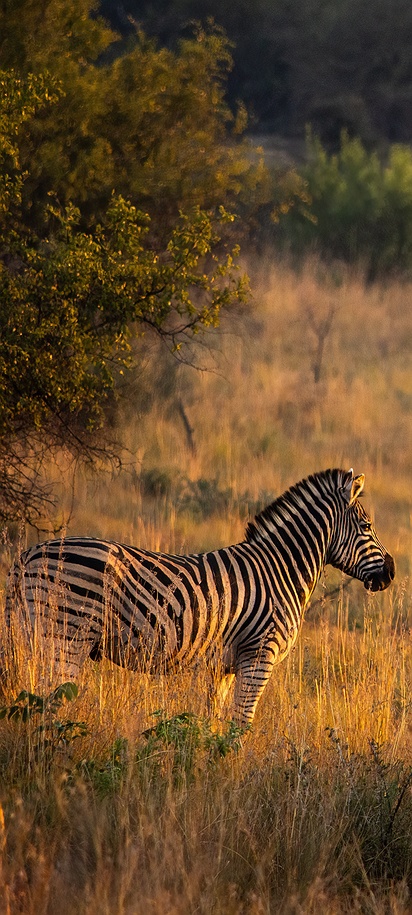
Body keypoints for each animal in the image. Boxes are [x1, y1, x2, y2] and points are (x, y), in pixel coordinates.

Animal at [5, 468, 394, 725]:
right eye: (367, 527)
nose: (390, 573)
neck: (280, 568)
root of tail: (27, 554)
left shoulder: (224, 666)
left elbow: (214, 722)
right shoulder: (259, 655)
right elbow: (241, 725)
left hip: (37, 636)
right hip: (65, 637)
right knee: (49, 700)